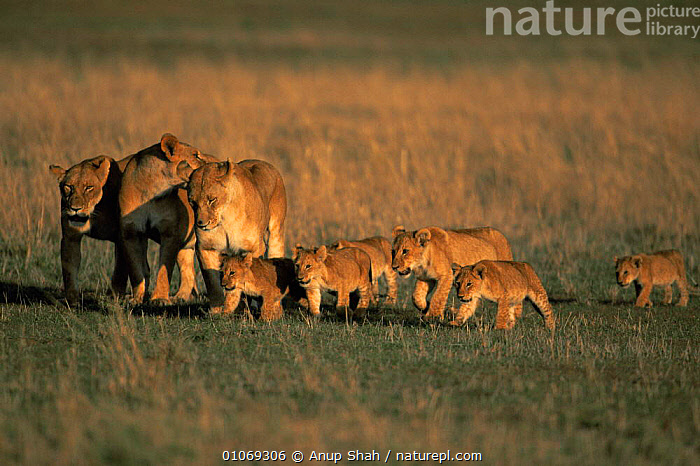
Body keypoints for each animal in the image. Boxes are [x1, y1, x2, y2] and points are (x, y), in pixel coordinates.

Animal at [49, 154, 195, 303]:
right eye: (68, 187)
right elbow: (69, 270)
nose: (75, 208)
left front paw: (117, 298)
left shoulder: (122, 236)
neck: (95, 210)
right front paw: (72, 300)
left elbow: (121, 270)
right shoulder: (70, 236)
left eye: (89, 187)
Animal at [118, 133, 217, 304]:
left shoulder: (170, 233)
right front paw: (137, 299)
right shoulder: (131, 233)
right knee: (188, 273)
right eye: (195, 155)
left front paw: (159, 299)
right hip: (185, 246)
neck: (151, 191)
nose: (214, 165)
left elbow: (164, 270)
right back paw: (180, 298)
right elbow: (136, 270)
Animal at [177, 158, 287, 314]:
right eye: (192, 202)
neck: (224, 220)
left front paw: (245, 308)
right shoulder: (205, 248)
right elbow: (212, 282)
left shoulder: (253, 248)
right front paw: (216, 311)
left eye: (212, 199)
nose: (201, 224)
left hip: (276, 232)